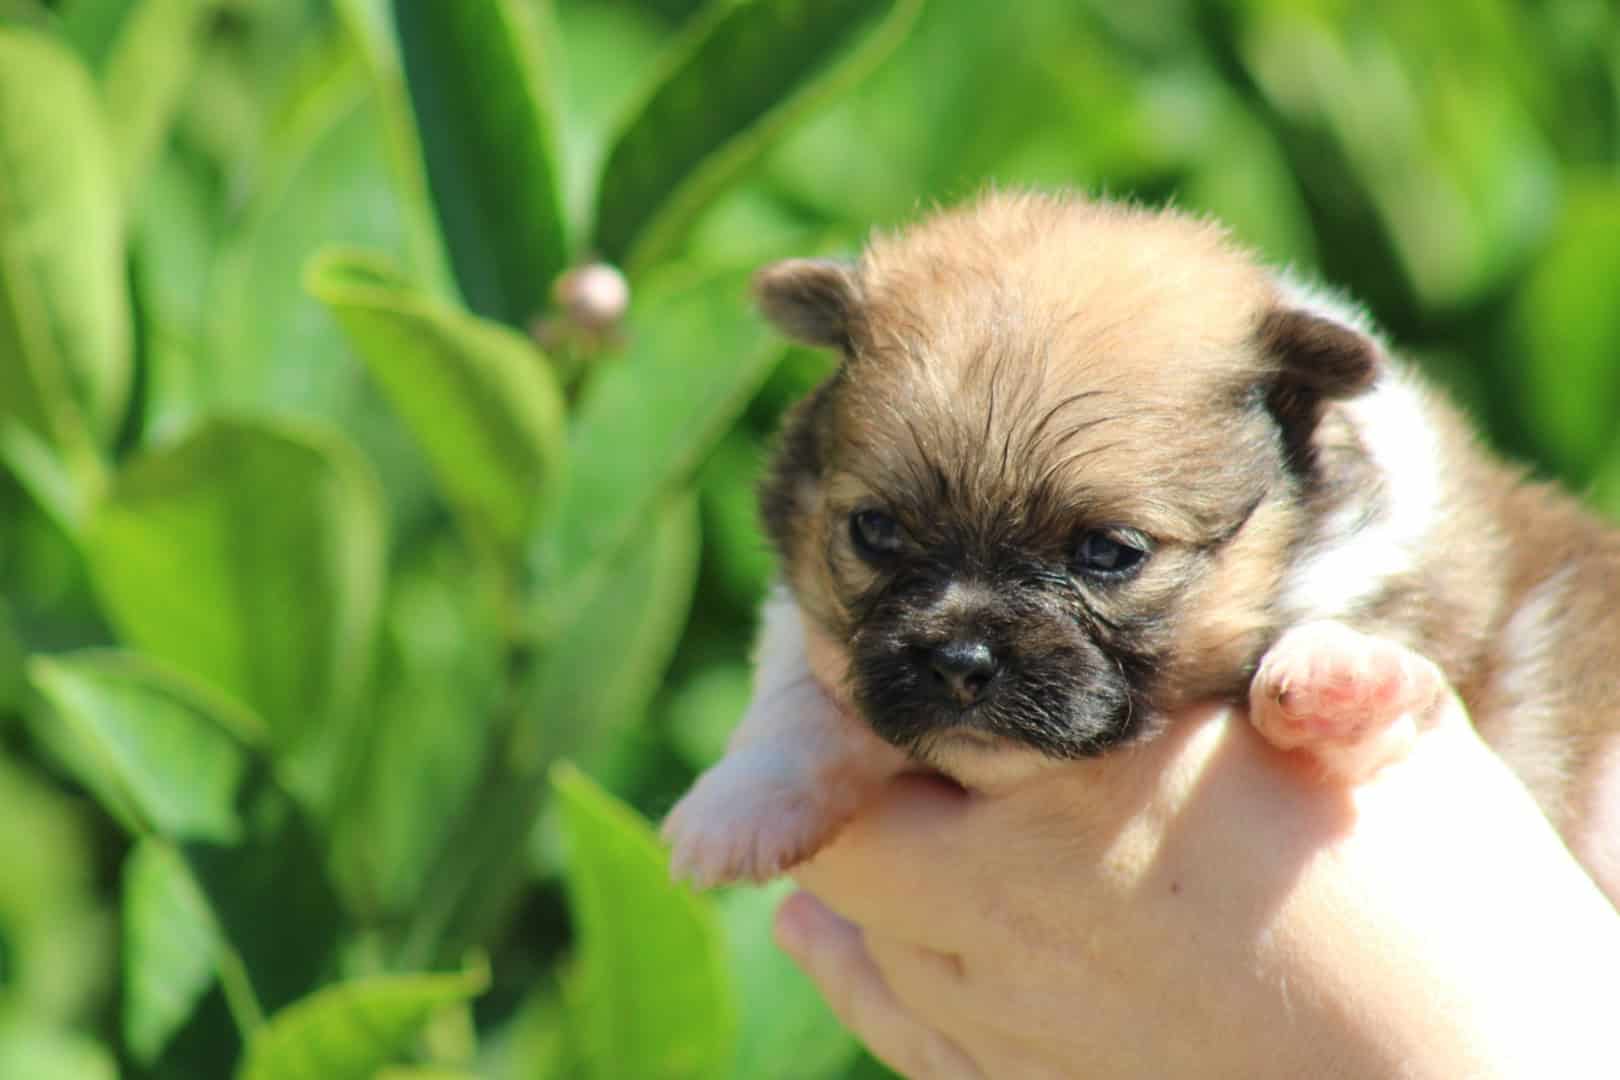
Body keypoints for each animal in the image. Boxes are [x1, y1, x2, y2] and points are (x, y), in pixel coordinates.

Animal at [660, 190, 1620, 900]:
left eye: (1108, 552)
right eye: (877, 531)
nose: (960, 664)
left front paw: (1336, 680)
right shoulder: (812, 618)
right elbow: (792, 690)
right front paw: (735, 806)